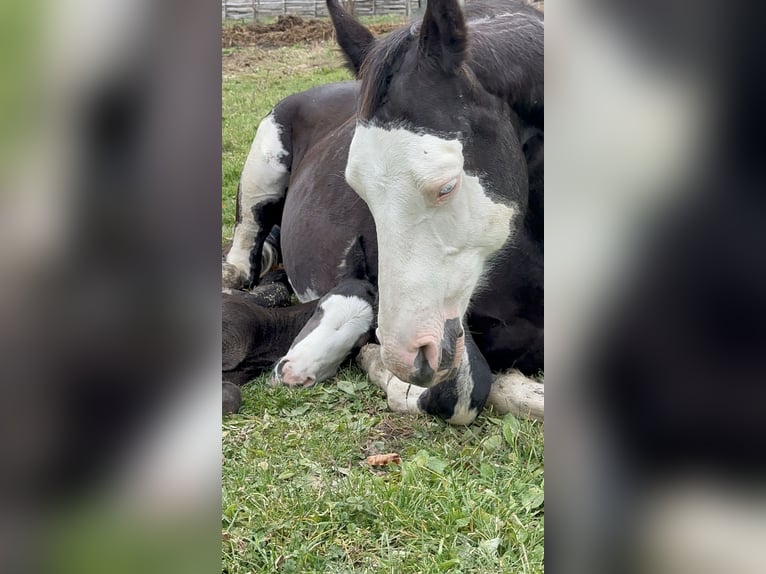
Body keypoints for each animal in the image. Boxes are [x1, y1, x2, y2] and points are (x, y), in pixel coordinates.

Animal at [223, 0, 544, 424]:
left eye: (446, 186)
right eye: (358, 189)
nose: (403, 355)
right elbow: (463, 396)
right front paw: (379, 368)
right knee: (245, 246)